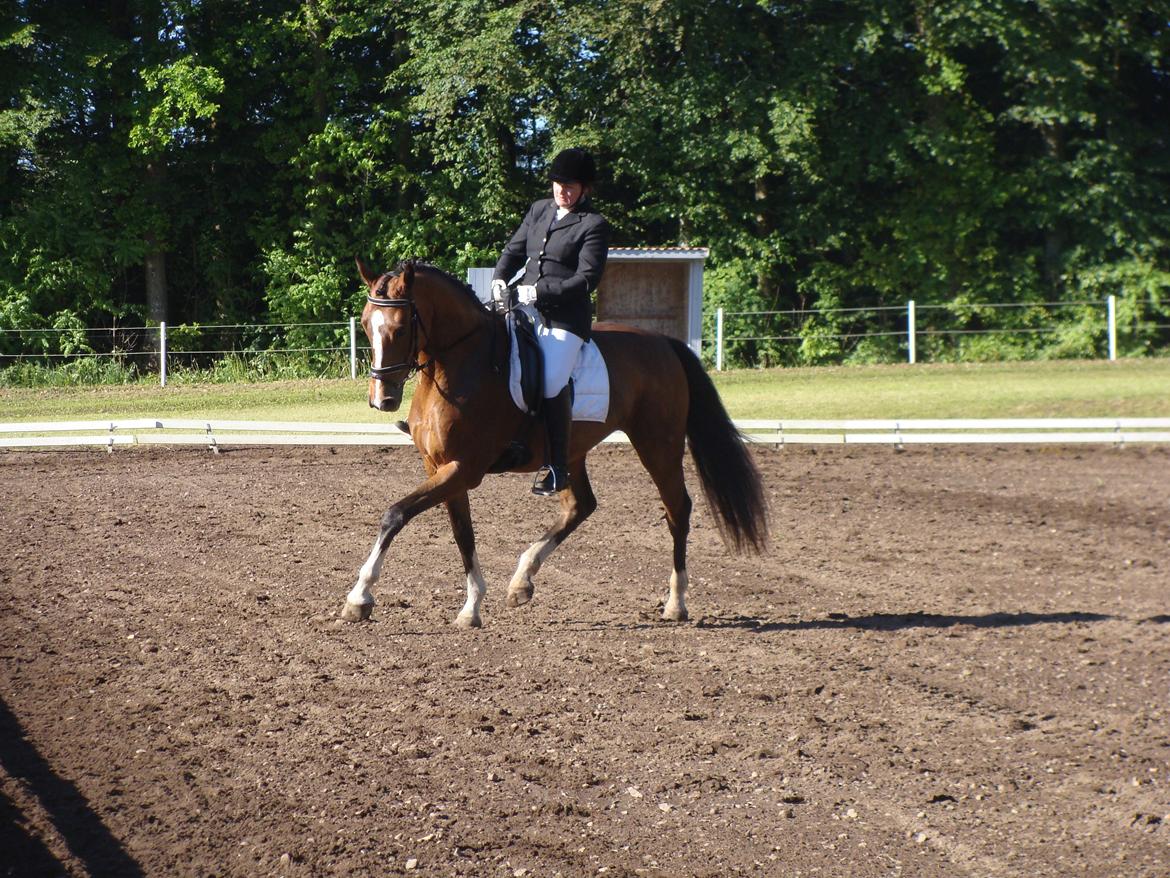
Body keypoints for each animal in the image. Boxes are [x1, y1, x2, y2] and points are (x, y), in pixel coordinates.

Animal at [341, 257, 767, 627]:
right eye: (365, 324)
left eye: (399, 328)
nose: (382, 399)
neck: (460, 364)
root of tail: (662, 341)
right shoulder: (440, 467)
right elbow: (462, 533)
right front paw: (472, 606)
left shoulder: (464, 468)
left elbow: (395, 514)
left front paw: (359, 597)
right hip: (570, 452)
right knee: (581, 505)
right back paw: (521, 581)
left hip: (658, 445)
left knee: (677, 508)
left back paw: (675, 603)